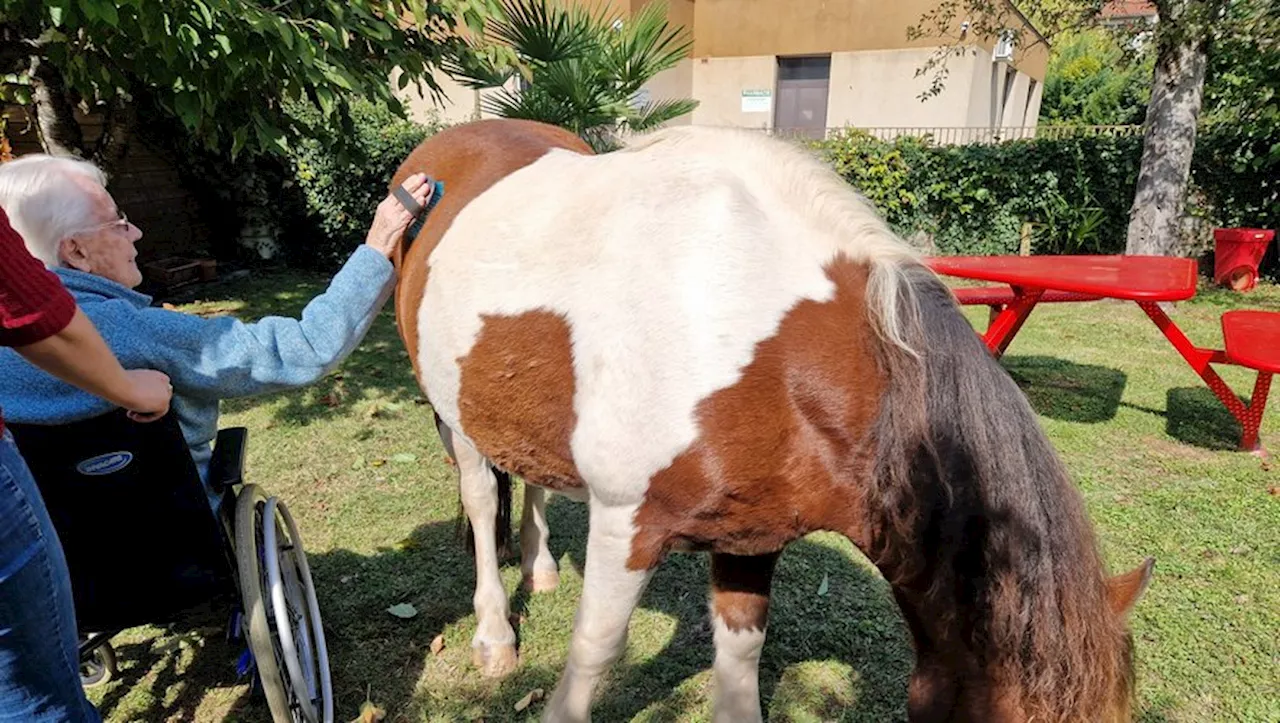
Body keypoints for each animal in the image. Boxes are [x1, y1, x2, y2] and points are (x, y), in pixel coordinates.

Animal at [384, 119, 1157, 721]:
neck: (760, 344)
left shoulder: (754, 531)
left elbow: (741, 650)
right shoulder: (627, 521)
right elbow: (598, 646)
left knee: (532, 474)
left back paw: (540, 568)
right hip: (452, 413)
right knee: (481, 497)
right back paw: (494, 633)